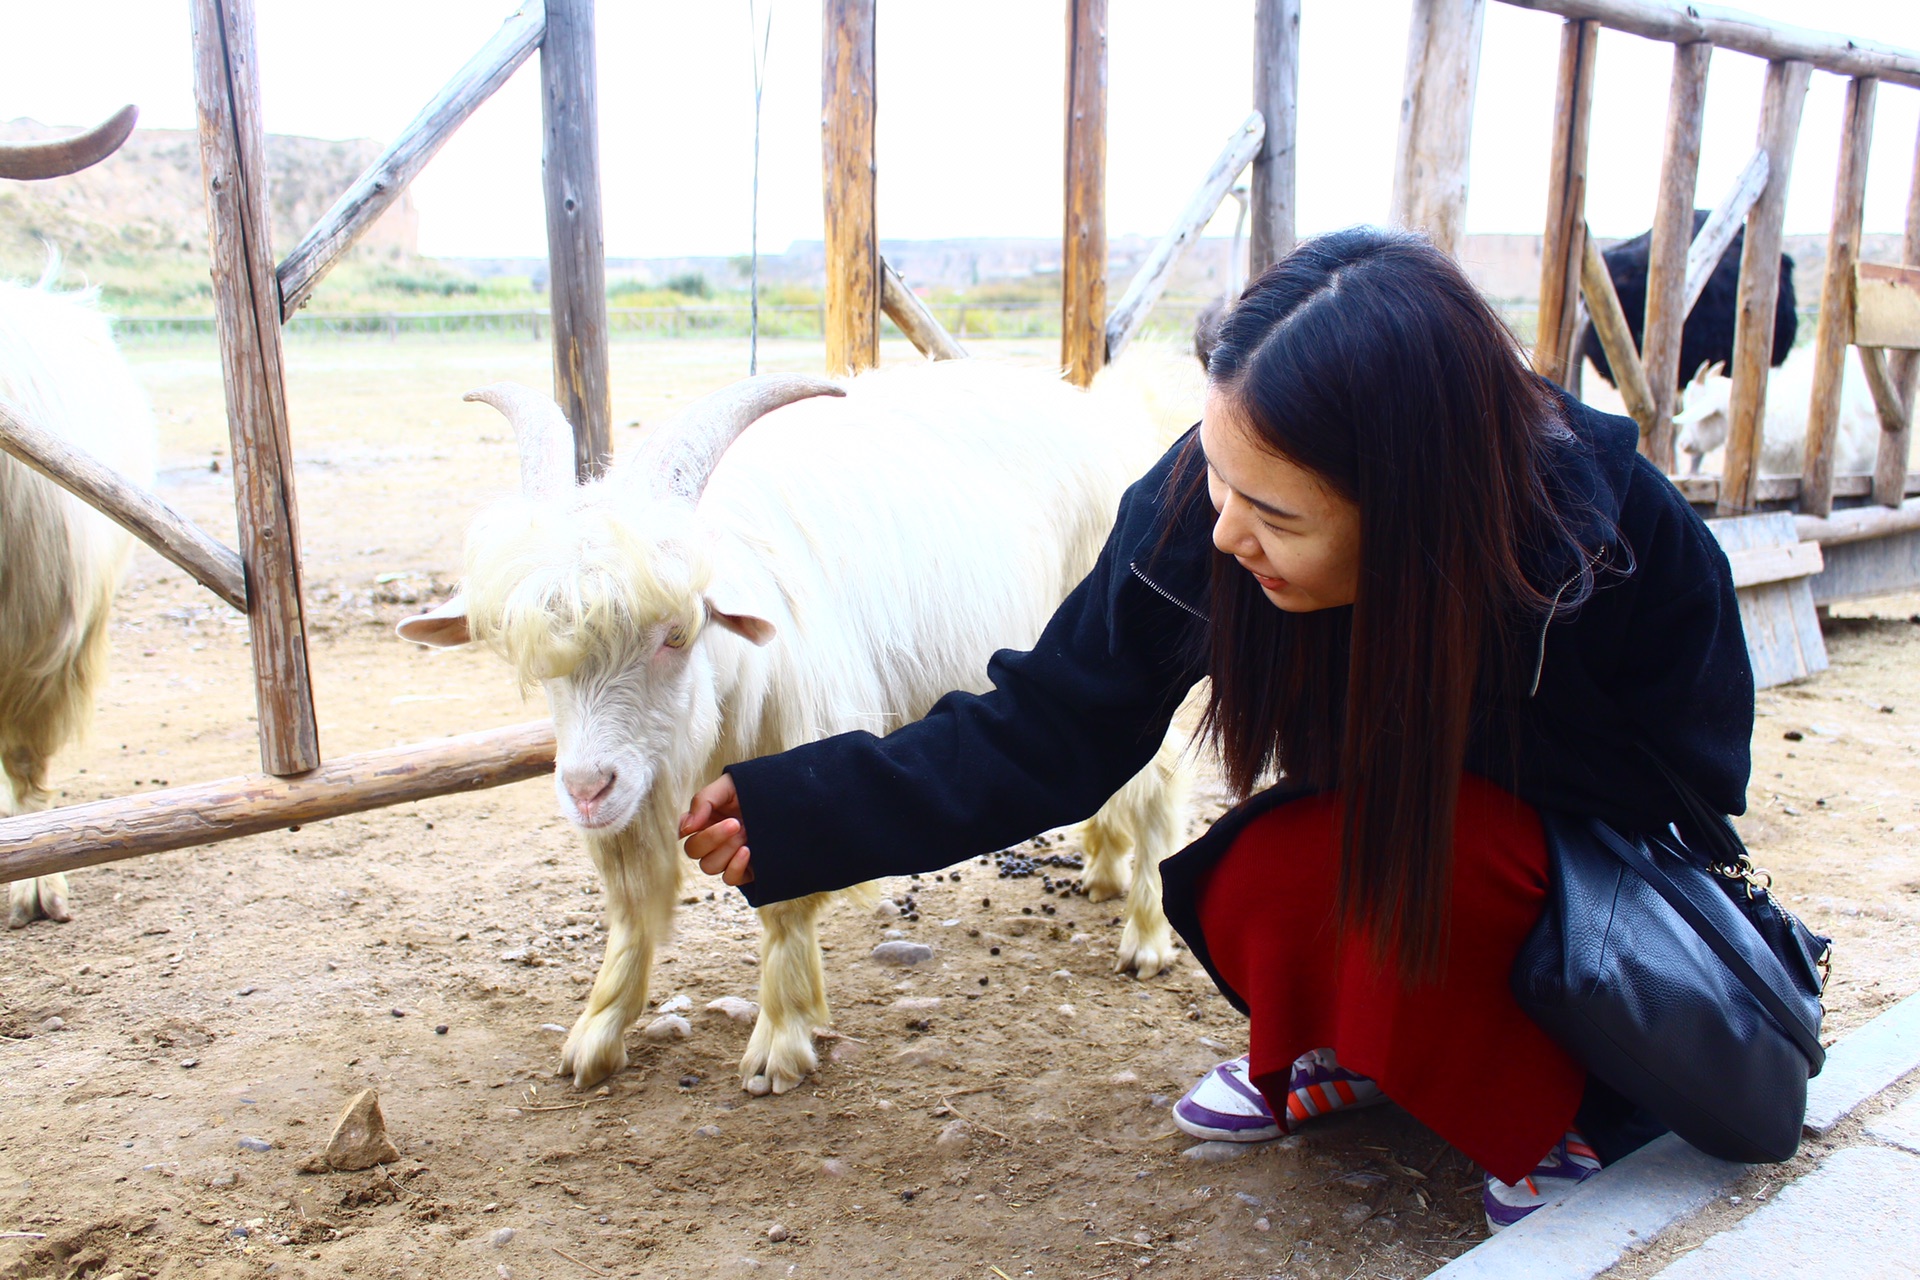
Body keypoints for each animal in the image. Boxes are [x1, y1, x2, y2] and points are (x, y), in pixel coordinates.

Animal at [399, 358, 1190, 1090]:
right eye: (534, 653)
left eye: (678, 633)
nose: (588, 791)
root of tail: (1102, 414)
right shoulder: (640, 784)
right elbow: (631, 904)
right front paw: (598, 1031)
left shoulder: (792, 750)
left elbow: (786, 897)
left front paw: (781, 1040)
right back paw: (1103, 867)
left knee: (1155, 781)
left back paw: (1148, 934)